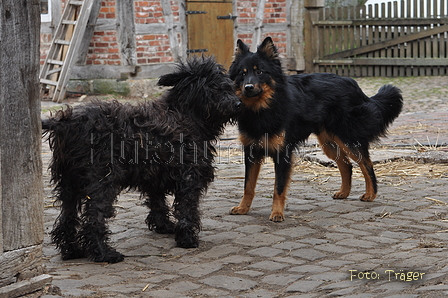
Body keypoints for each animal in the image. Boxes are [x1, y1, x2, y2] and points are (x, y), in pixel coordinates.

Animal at [42, 56, 242, 264]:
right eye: (216, 87)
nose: (238, 104)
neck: (185, 114)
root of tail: (66, 121)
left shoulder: (154, 176)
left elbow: (158, 203)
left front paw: (164, 226)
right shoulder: (190, 177)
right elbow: (187, 208)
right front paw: (187, 238)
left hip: (68, 183)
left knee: (67, 218)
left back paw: (72, 251)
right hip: (101, 181)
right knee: (94, 219)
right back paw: (104, 253)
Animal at [228, 37, 402, 222]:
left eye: (260, 72)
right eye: (242, 73)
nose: (248, 87)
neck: (262, 109)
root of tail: (353, 84)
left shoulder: (283, 153)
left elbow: (278, 188)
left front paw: (277, 213)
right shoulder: (251, 152)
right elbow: (248, 185)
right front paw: (243, 208)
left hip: (348, 139)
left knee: (366, 163)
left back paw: (371, 194)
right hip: (329, 143)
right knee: (346, 164)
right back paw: (344, 192)